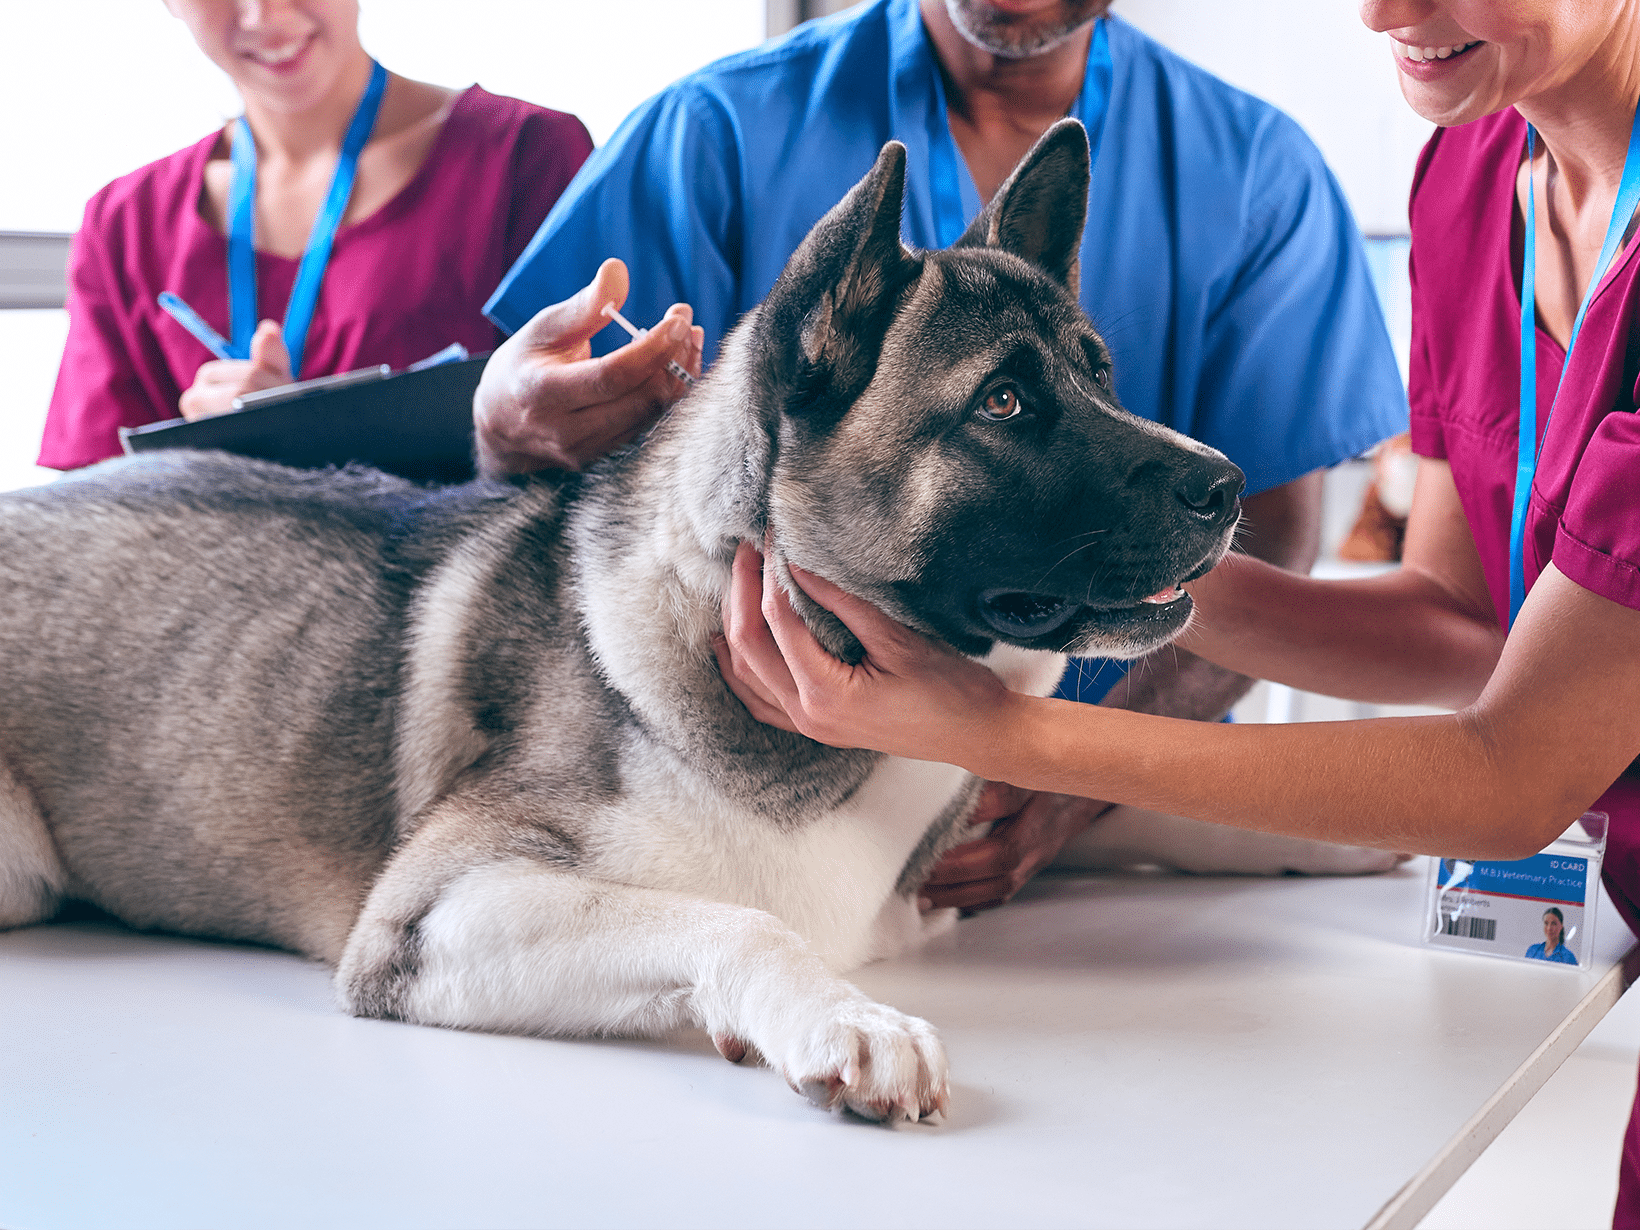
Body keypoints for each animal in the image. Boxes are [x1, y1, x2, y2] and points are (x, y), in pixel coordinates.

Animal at [3, 123, 1239, 1128]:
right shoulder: (434, 913)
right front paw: (847, 1020)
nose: (1225, 487)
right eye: (1002, 403)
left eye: (1102, 377)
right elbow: (735, 921)